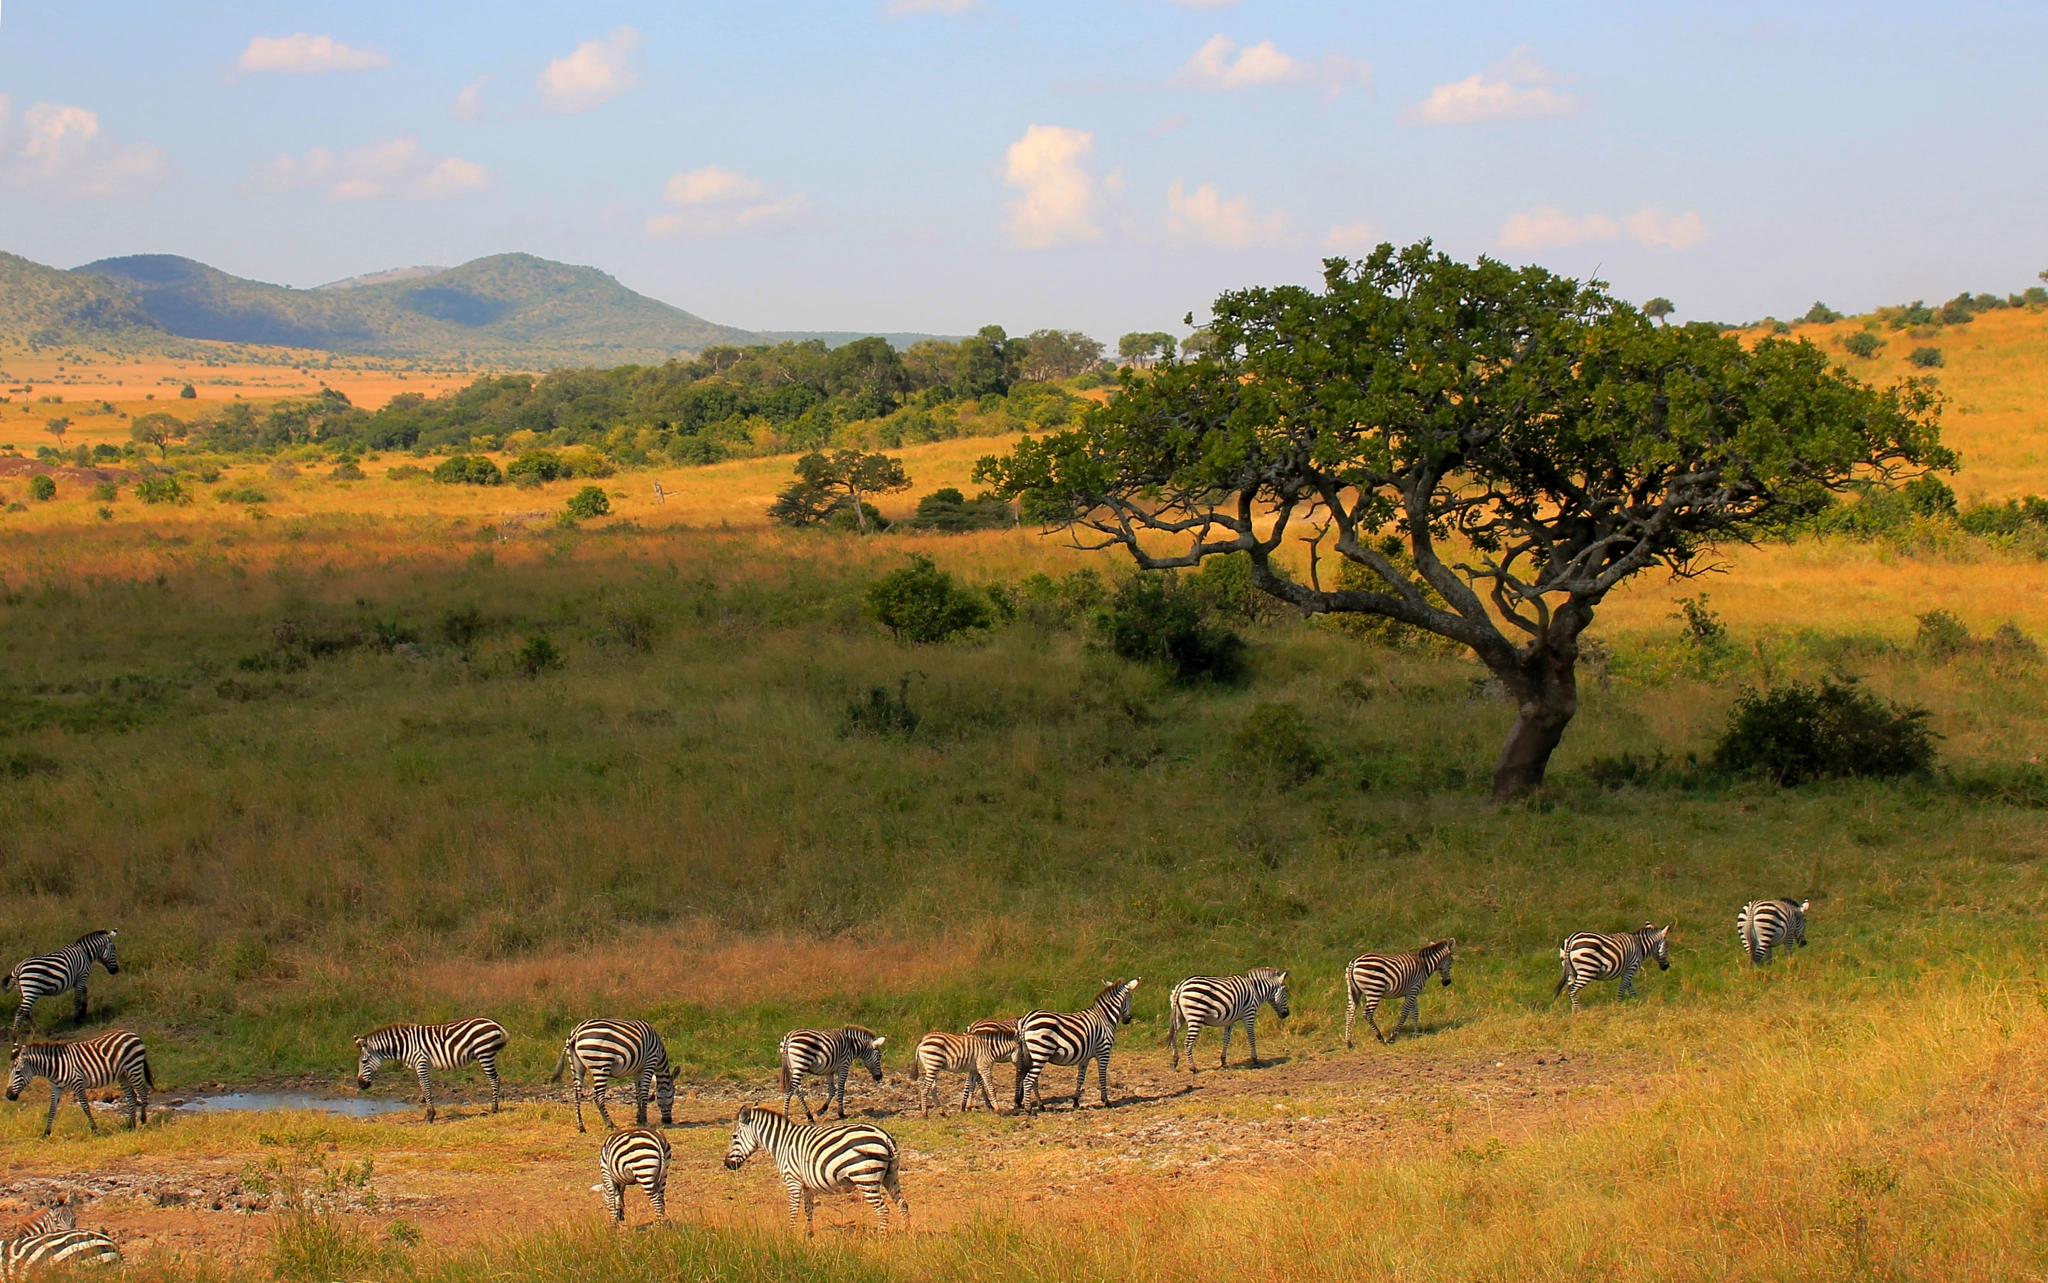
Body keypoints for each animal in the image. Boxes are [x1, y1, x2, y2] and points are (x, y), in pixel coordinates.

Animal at [5, 1024, 151, 1131]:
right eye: (10, 1072)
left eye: (18, 1072)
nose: (8, 1096)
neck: (55, 1066)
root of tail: (132, 1033)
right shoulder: (56, 1088)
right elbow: (52, 1109)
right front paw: (46, 1133)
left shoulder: (78, 1084)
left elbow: (85, 1107)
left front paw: (94, 1129)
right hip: (123, 1075)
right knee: (131, 1096)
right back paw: (131, 1125)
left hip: (133, 1069)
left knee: (143, 1090)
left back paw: (143, 1119)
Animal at [356, 1012, 507, 1114]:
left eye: (364, 1061)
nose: (361, 1085)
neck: (405, 1046)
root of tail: (493, 1023)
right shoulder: (419, 1066)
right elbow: (424, 1088)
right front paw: (429, 1114)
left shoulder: (421, 1063)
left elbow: (427, 1088)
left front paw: (430, 1115)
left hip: (484, 1053)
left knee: (494, 1079)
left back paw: (494, 1109)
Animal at [724, 1098, 909, 1229]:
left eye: (734, 1137)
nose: (727, 1164)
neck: (782, 1143)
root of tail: (884, 1136)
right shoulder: (807, 1185)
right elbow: (808, 1211)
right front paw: (809, 1238)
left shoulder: (793, 1180)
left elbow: (793, 1210)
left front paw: (791, 1238)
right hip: (890, 1176)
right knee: (903, 1205)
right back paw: (906, 1238)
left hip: (865, 1178)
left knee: (883, 1211)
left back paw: (882, 1241)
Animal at [1015, 979, 1146, 1106]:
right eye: (1131, 998)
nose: (1128, 1019)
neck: (1105, 1018)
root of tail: (1026, 1018)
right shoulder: (1104, 1051)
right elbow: (1102, 1077)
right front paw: (1105, 1101)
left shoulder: (1085, 1057)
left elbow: (1081, 1078)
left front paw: (1076, 1101)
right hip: (1041, 1052)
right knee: (1028, 1080)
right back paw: (1029, 1109)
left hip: (1031, 1055)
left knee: (1031, 1080)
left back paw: (1041, 1106)